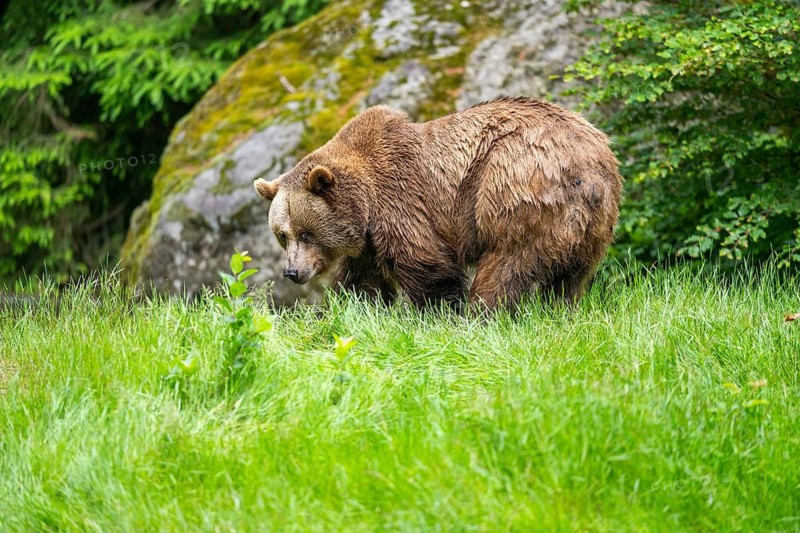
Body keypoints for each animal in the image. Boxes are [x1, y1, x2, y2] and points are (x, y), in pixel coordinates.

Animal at [253, 97, 623, 310]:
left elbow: (427, 265)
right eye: (282, 235)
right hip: (592, 226)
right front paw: (357, 309)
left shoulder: (401, 200)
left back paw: (481, 313)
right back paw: (559, 308)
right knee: (570, 276)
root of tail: (591, 165)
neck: (366, 206)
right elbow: (362, 282)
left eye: (306, 232)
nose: (292, 271)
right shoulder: (368, 242)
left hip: (513, 186)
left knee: (506, 263)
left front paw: (437, 311)